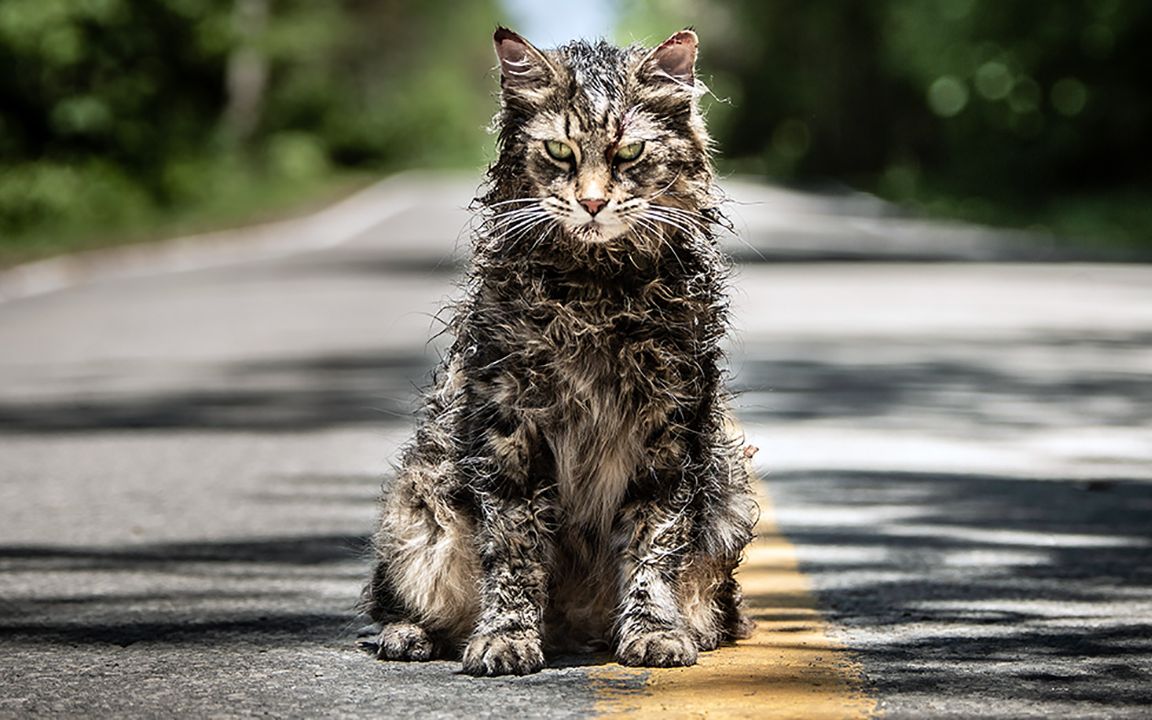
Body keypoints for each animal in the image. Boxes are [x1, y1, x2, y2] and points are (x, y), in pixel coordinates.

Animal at [359, 23, 755, 672]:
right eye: (560, 152)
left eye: (628, 155)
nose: (592, 203)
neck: (595, 292)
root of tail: (573, 630)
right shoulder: (509, 427)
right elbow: (515, 550)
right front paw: (506, 638)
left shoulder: (669, 430)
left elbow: (653, 544)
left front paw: (653, 631)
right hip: (418, 505)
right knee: (401, 600)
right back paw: (411, 635)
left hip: (730, 493)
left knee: (715, 607)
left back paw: (685, 630)